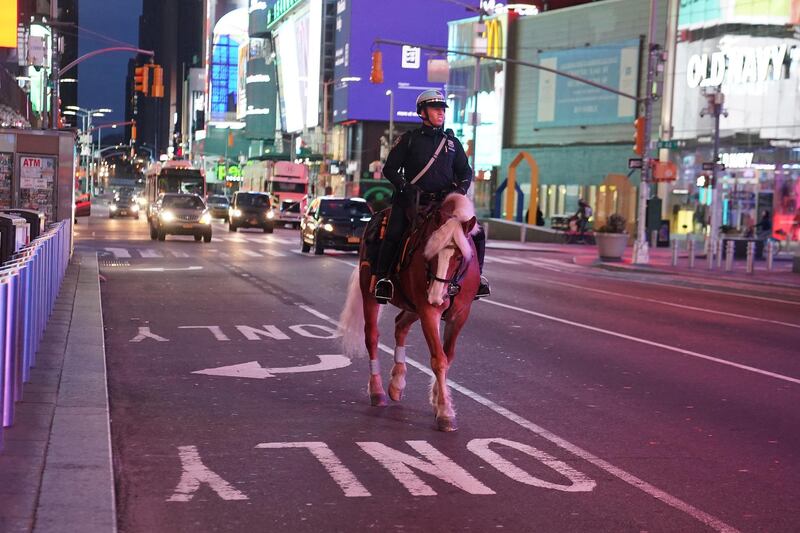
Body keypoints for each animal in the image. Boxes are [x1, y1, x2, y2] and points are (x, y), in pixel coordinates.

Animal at [340, 193, 478, 430]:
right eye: (430, 253)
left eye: (460, 257)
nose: (436, 296)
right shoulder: (428, 312)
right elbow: (439, 359)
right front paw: (445, 412)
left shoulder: (459, 315)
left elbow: (448, 355)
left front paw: (437, 399)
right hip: (371, 293)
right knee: (372, 337)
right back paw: (377, 391)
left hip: (412, 307)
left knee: (400, 325)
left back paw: (397, 383)